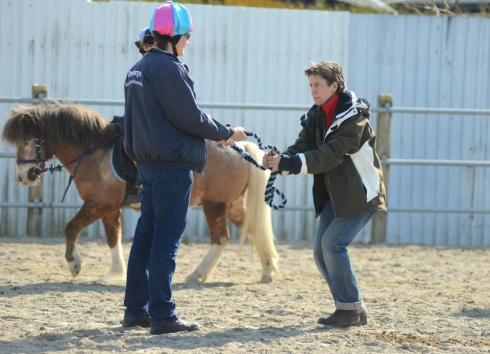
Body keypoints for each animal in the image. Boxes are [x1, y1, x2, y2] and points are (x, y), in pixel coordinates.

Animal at [0, 101, 280, 282]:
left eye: (27, 142)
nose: (22, 176)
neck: (93, 153)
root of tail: (239, 149)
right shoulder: (109, 208)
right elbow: (113, 237)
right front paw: (114, 273)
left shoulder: (97, 204)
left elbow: (70, 228)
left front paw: (74, 264)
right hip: (231, 205)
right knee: (253, 229)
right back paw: (267, 270)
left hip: (215, 205)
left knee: (221, 238)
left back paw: (197, 274)